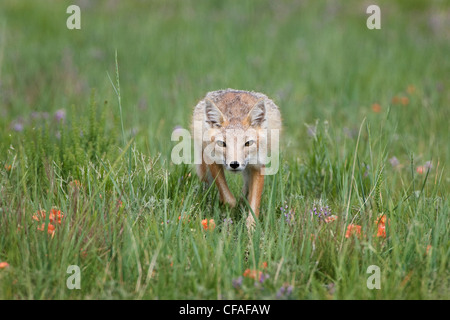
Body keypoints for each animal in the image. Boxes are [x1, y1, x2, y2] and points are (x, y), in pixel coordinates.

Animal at [192, 89, 282, 226]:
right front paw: (230, 209)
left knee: (246, 188)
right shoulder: (212, 161)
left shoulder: (258, 166)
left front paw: (251, 228)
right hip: (203, 170)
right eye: (222, 143)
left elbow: (254, 206)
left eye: (248, 143)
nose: (234, 164)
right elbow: (228, 198)